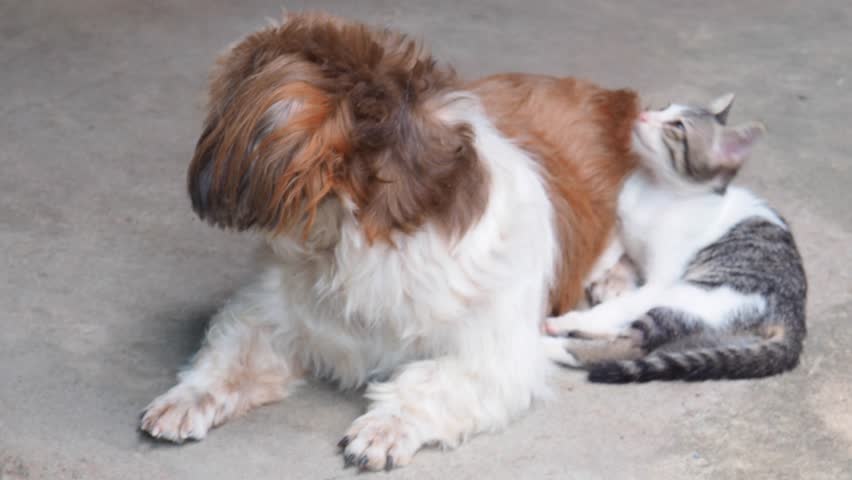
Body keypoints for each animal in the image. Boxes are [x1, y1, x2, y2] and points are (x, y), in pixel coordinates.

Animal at [140, 12, 636, 472]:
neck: (351, 246)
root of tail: (610, 97)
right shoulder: (269, 315)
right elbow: (230, 357)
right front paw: (189, 397)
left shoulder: (498, 358)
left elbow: (430, 381)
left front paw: (385, 426)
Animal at [544, 94, 808, 382]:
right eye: (664, 108)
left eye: (677, 126)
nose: (644, 114)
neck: (656, 190)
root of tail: (794, 319)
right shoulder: (622, 223)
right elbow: (610, 249)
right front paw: (592, 273)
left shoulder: (660, 281)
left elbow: (620, 305)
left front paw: (573, 315)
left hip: (690, 296)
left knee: (629, 345)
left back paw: (551, 339)